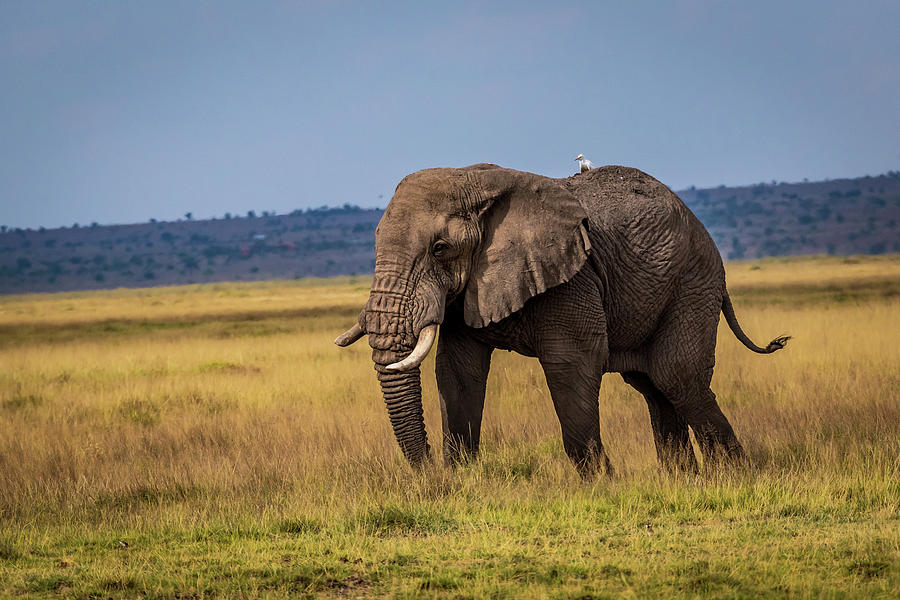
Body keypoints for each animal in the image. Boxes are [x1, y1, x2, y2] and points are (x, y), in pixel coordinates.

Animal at [332, 163, 788, 474]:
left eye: (440, 248)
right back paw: (682, 479)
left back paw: (731, 477)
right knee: (653, 386)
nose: (430, 475)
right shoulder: (468, 290)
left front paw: (601, 484)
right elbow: (457, 370)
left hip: (692, 282)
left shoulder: (572, 274)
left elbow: (570, 363)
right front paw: (463, 478)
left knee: (678, 378)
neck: (476, 180)